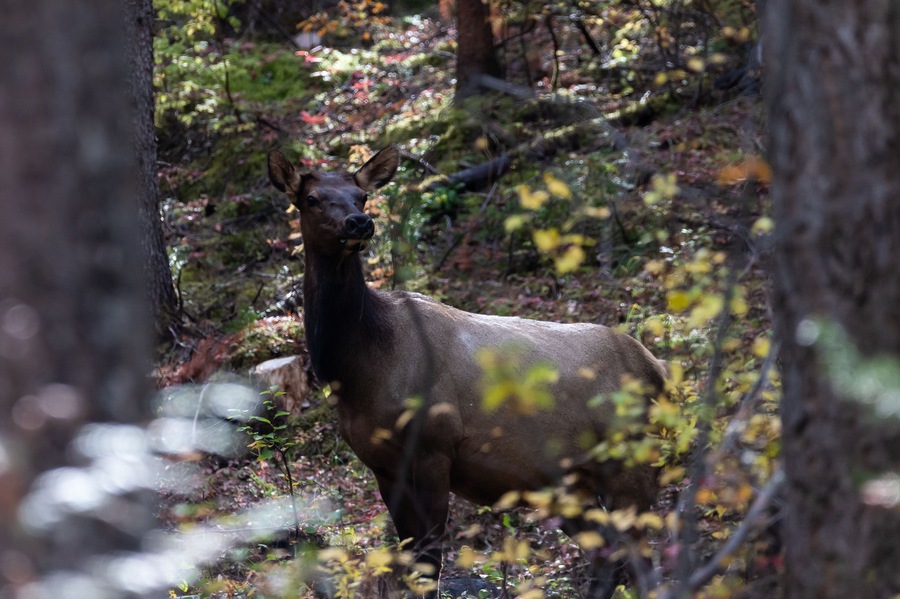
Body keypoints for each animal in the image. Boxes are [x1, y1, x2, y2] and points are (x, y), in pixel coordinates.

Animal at [267, 146, 667, 599]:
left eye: (362, 196)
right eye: (311, 198)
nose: (359, 222)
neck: (358, 370)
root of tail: (660, 369)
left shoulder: (434, 448)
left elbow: (429, 565)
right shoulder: (382, 466)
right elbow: (410, 560)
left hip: (632, 466)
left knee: (641, 564)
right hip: (567, 484)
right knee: (607, 554)